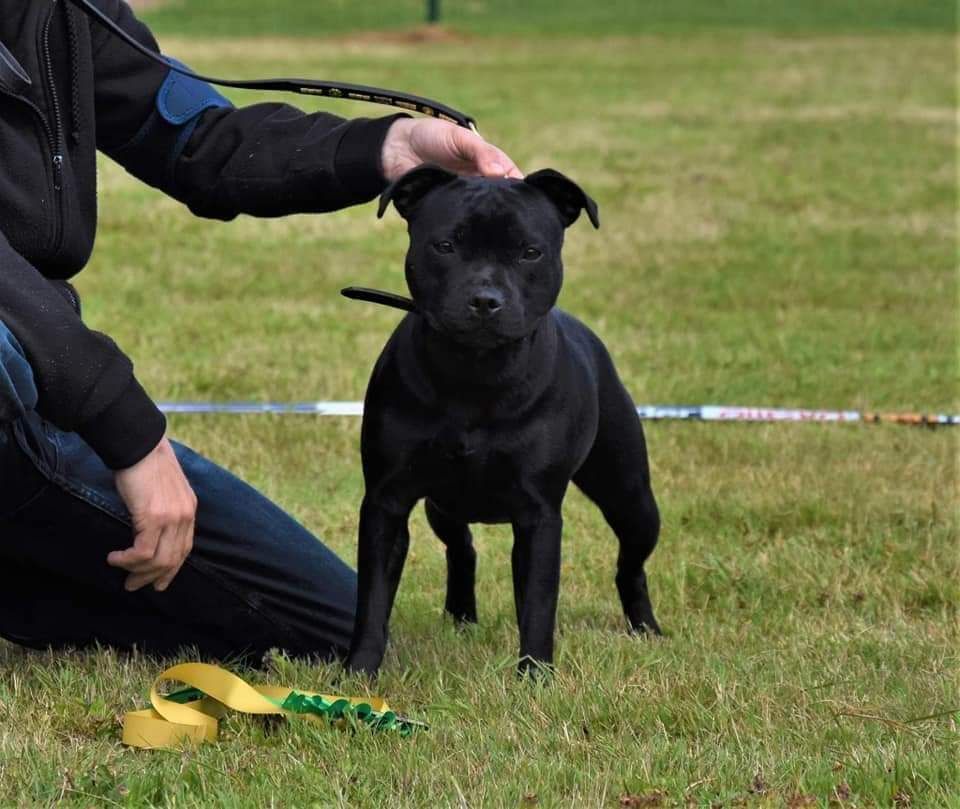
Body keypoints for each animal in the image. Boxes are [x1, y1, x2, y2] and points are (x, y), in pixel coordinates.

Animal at [348, 166, 664, 676]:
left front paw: (535, 676)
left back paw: (646, 629)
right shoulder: (387, 501)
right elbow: (373, 596)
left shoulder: (538, 515)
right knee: (462, 548)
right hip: (444, 503)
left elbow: (537, 603)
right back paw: (460, 619)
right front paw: (360, 670)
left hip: (630, 498)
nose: (485, 300)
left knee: (630, 565)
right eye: (445, 245)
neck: (474, 375)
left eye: (530, 251)